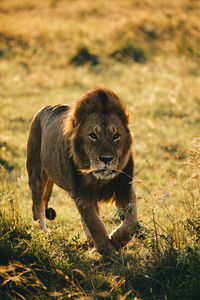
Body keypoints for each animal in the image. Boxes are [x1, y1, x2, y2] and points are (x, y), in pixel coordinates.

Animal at [26, 88, 138, 254]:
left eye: (116, 136)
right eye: (93, 136)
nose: (106, 159)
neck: (98, 180)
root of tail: (47, 107)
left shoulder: (124, 188)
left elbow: (131, 222)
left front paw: (115, 240)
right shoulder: (82, 194)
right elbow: (95, 224)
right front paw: (108, 251)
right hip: (36, 173)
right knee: (37, 205)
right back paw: (43, 234)